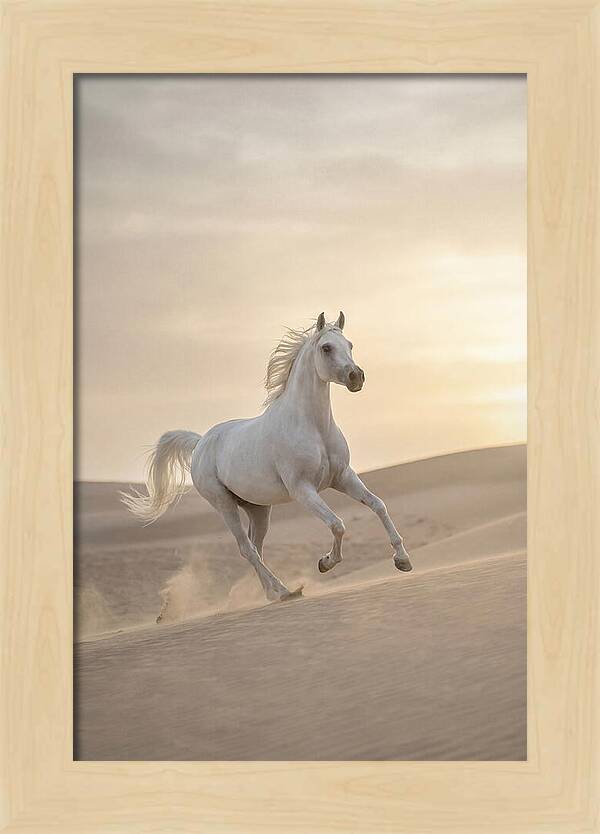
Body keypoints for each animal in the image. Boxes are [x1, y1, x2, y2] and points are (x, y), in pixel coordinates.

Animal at [122, 311, 413, 607]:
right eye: (326, 348)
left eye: (350, 345)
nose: (357, 377)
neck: (313, 427)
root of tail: (200, 442)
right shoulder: (302, 490)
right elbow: (337, 524)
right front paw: (325, 562)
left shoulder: (343, 477)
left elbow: (378, 505)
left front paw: (402, 560)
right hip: (223, 504)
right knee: (246, 548)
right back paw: (284, 591)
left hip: (258, 509)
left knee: (256, 547)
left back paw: (272, 593)